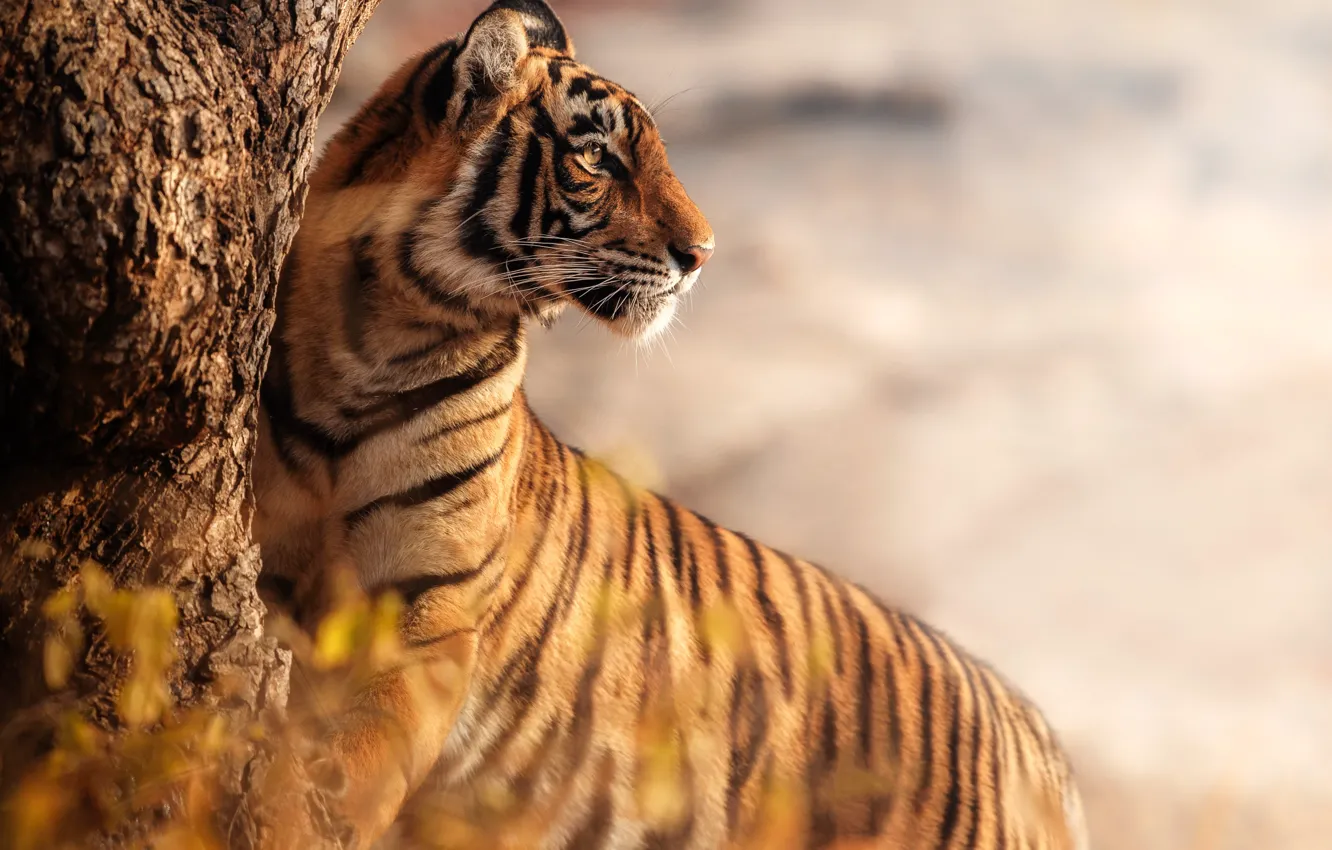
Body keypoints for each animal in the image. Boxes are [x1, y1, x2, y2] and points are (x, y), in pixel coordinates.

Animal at [252, 1, 1090, 848]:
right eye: (597, 157)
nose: (704, 254)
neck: (377, 340)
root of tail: (1036, 737)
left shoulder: (431, 614)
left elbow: (367, 756)